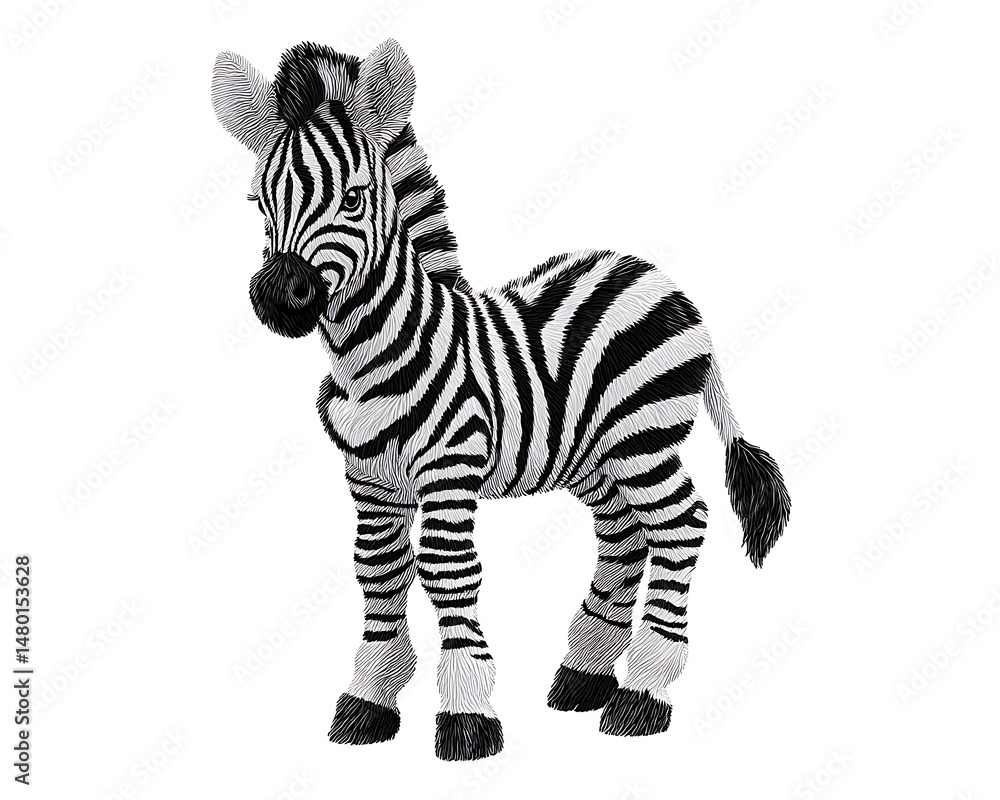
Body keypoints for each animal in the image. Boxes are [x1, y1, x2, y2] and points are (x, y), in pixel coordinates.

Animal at [211, 38, 791, 761]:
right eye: (259, 201)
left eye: (354, 198)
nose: (276, 296)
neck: (375, 350)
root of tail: (662, 279)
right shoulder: (368, 478)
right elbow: (378, 571)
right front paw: (368, 701)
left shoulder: (449, 470)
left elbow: (446, 570)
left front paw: (467, 714)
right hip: (593, 455)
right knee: (624, 534)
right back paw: (585, 675)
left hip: (644, 438)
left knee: (681, 522)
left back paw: (642, 694)